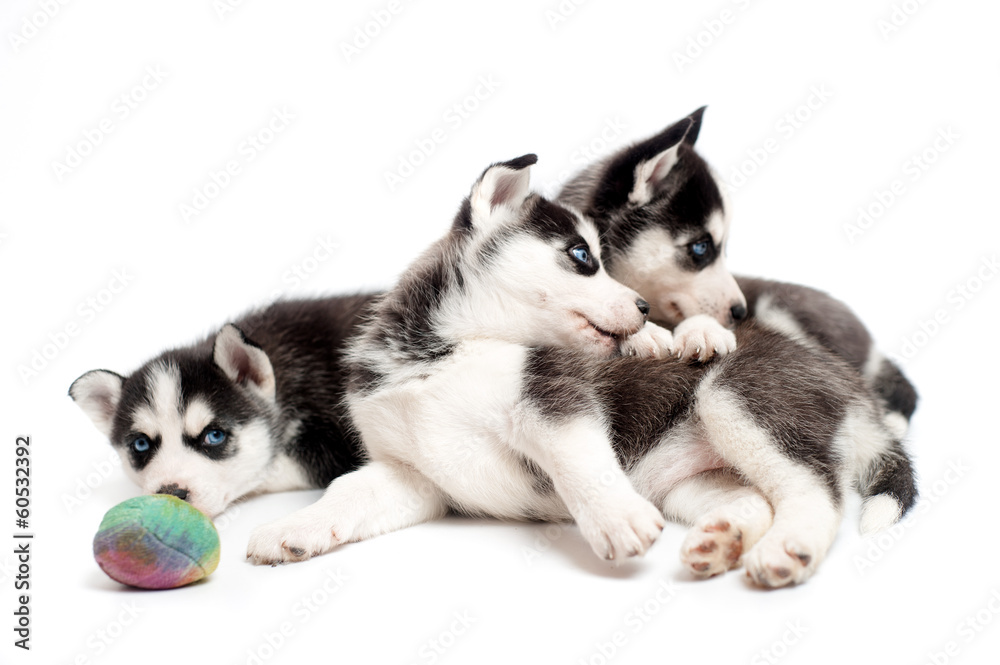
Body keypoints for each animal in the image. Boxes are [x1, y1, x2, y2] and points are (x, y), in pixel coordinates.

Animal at [244, 156, 916, 588]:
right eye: (580, 256)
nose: (644, 309)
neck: (441, 354)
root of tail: (853, 386)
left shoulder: (552, 399)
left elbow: (579, 462)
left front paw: (615, 521)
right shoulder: (417, 474)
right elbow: (347, 492)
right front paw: (291, 530)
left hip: (736, 398)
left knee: (817, 494)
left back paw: (787, 549)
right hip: (692, 478)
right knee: (755, 496)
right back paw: (722, 538)